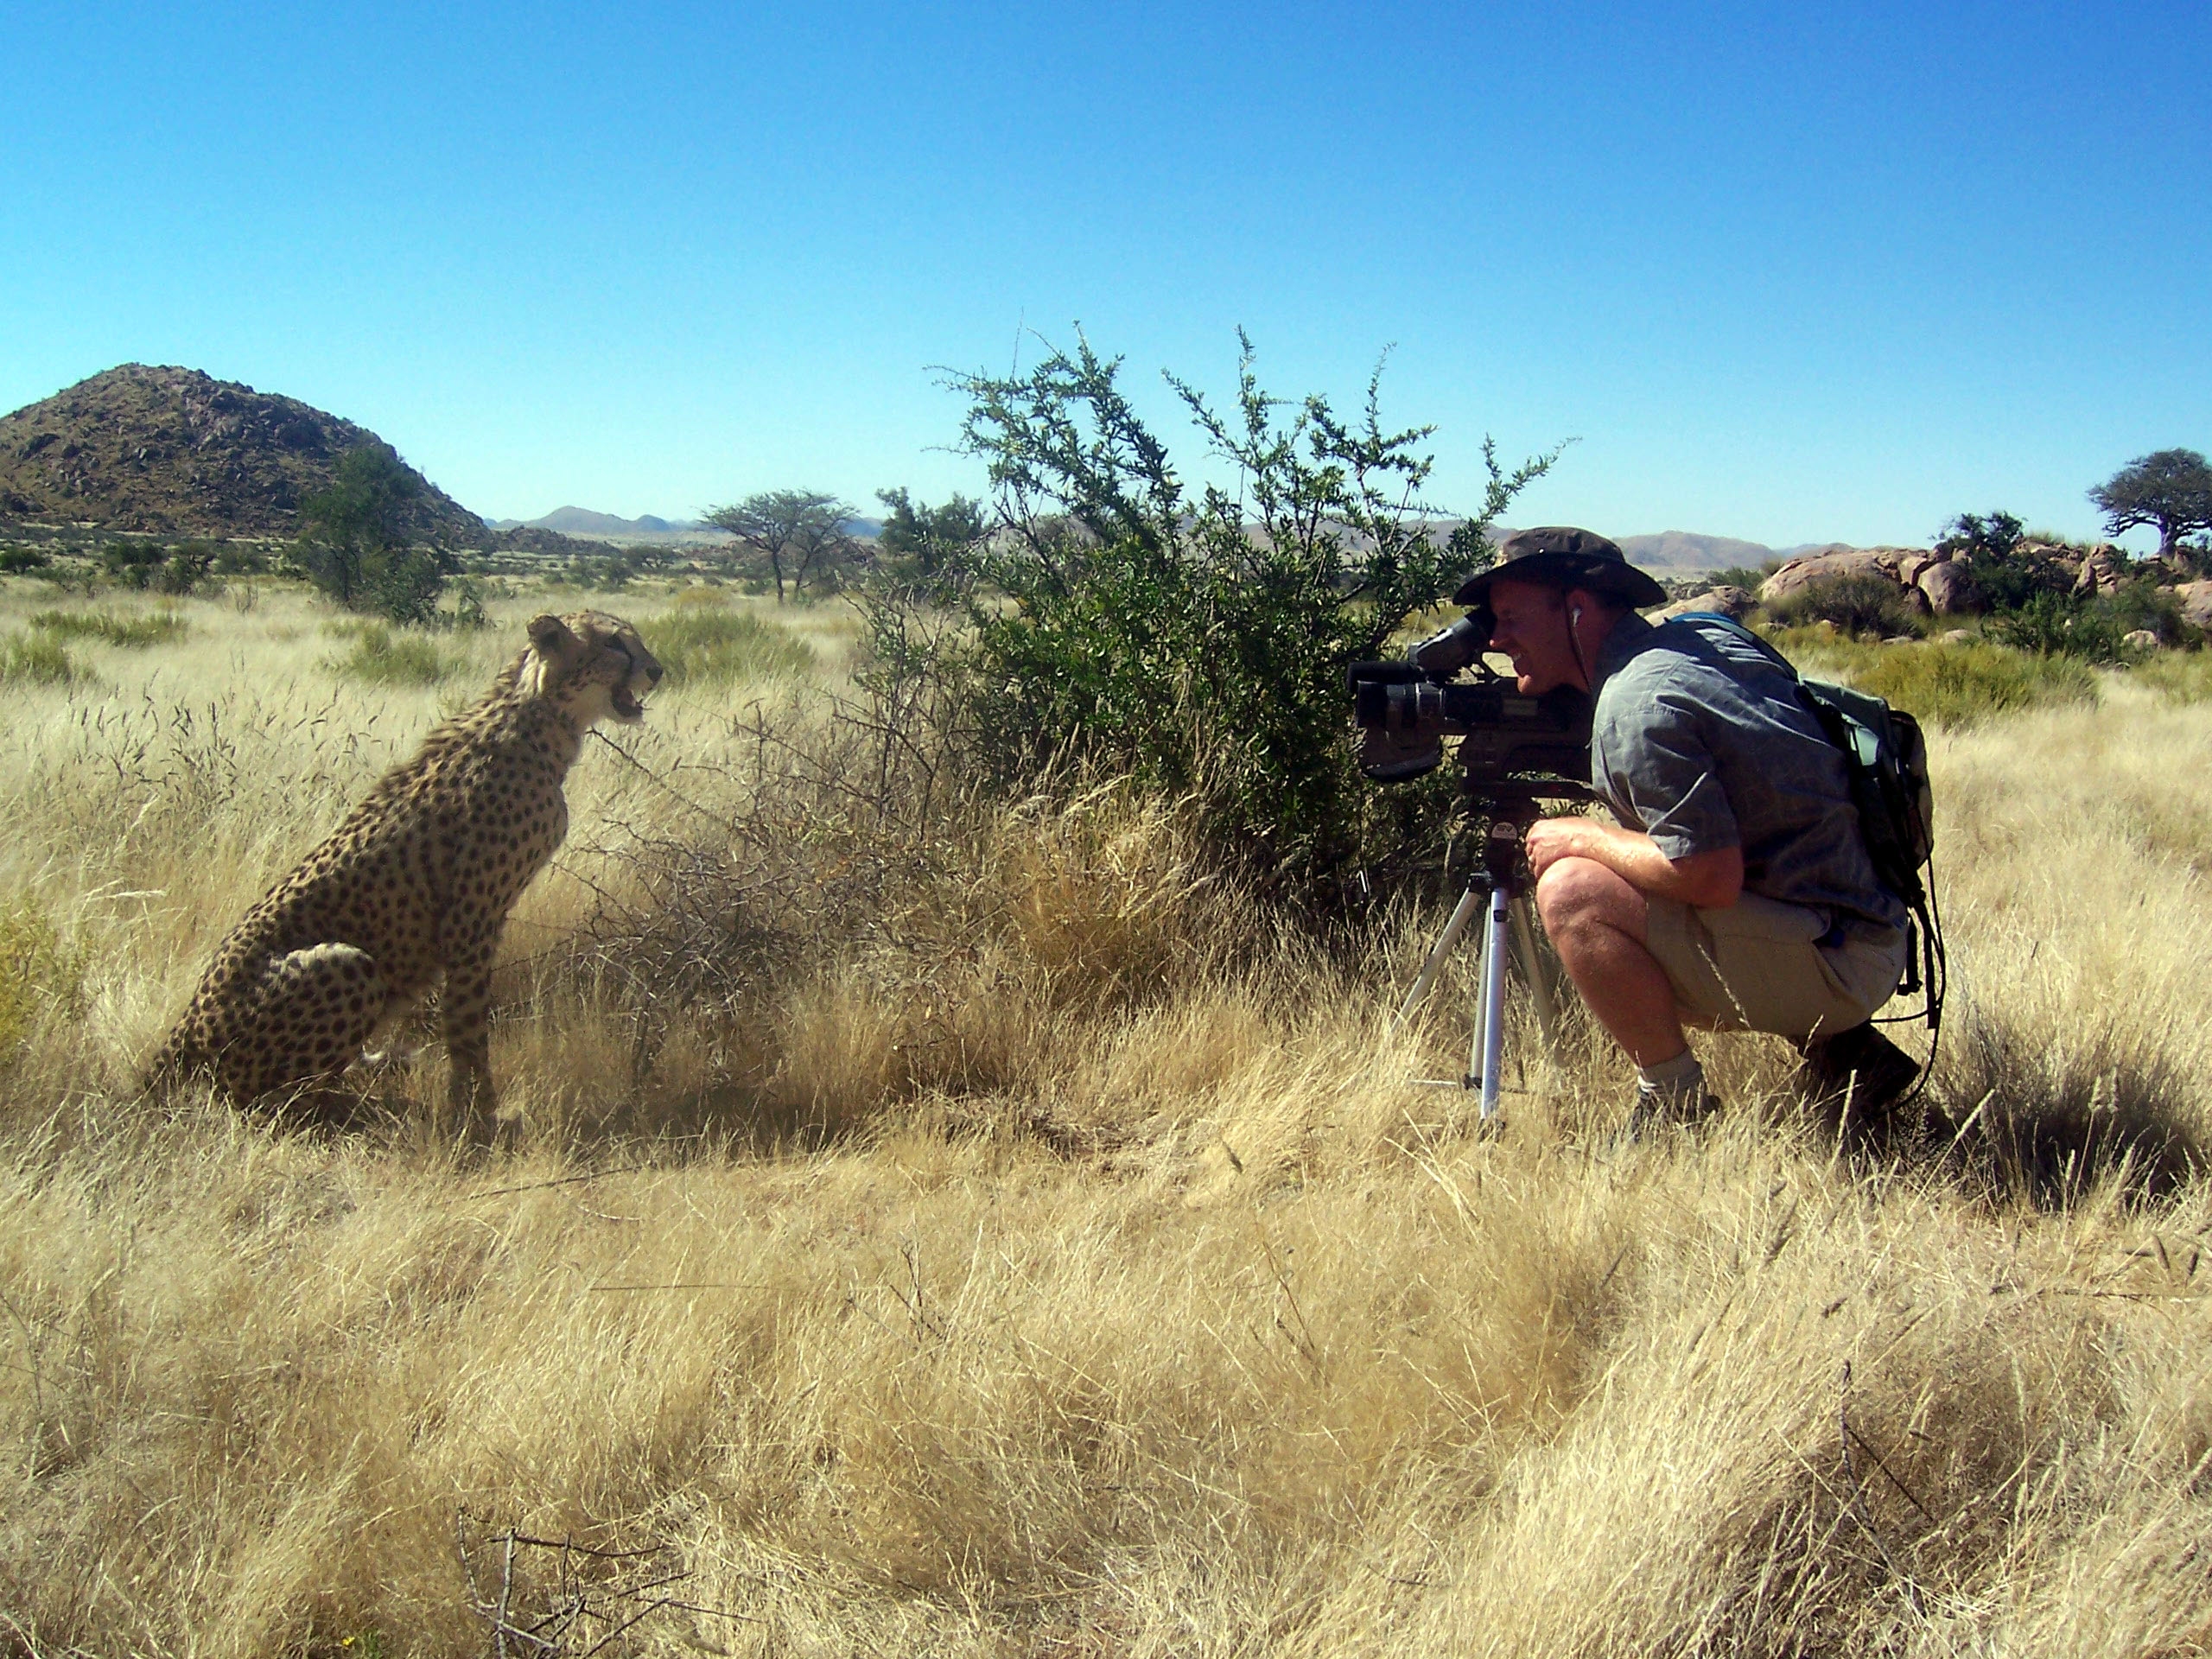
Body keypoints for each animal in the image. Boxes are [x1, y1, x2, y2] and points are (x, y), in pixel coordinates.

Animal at [147, 610, 658, 1132]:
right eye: (614, 643)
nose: (657, 671)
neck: (542, 723)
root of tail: (176, 1039)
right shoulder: (468, 922)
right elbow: (467, 1022)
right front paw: (480, 1114)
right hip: (345, 965)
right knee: (261, 1102)